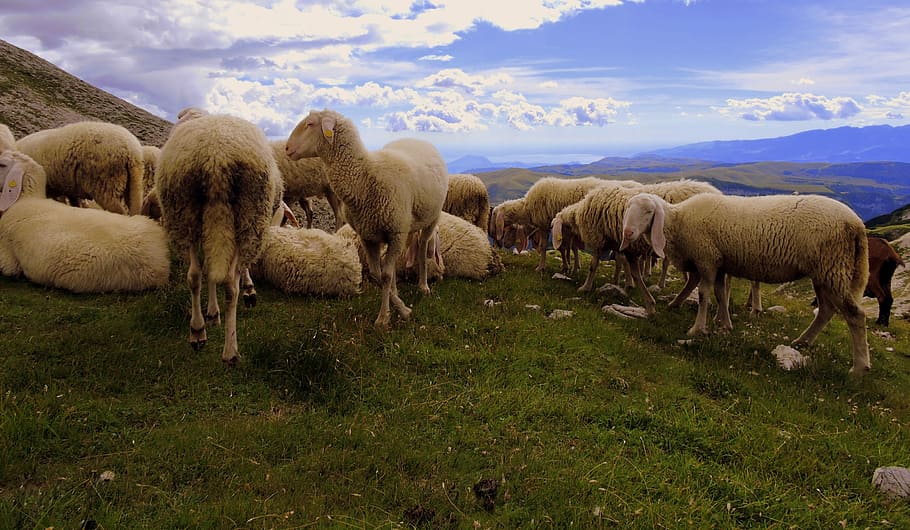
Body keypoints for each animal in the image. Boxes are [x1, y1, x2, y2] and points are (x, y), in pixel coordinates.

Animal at [15, 121, 144, 215]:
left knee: (119, 212)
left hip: (105, 186)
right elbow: (74, 202)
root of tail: (132, 152)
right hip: (133, 185)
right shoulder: (69, 189)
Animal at [157, 112, 282, 364]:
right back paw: (230, 351)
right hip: (249, 217)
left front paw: (212, 314)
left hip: (186, 215)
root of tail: (217, 158)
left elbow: (208, 272)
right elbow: (232, 272)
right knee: (230, 284)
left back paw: (197, 331)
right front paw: (248, 292)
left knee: (195, 275)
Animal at [285, 109, 448, 329]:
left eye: (310, 124)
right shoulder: (368, 235)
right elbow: (377, 275)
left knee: (422, 247)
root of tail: (417, 139)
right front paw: (399, 306)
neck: (366, 176)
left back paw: (423, 285)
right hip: (405, 224)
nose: (286, 148)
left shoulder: (396, 232)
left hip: (431, 218)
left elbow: (385, 275)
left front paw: (386, 317)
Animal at [619, 192, 870, 375]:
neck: (680, 221)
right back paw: (802, 341)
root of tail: (857, 224)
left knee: (855, 315)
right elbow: (721, 293)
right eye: (627, 209)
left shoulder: (707, 259)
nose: (628, 232)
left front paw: (697, 329)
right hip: (825, 272)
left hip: (833, 267)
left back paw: (858, 368)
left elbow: (704, 294)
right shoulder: (719, 262)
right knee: (826, 310)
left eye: (649, 211)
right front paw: (725, 325)